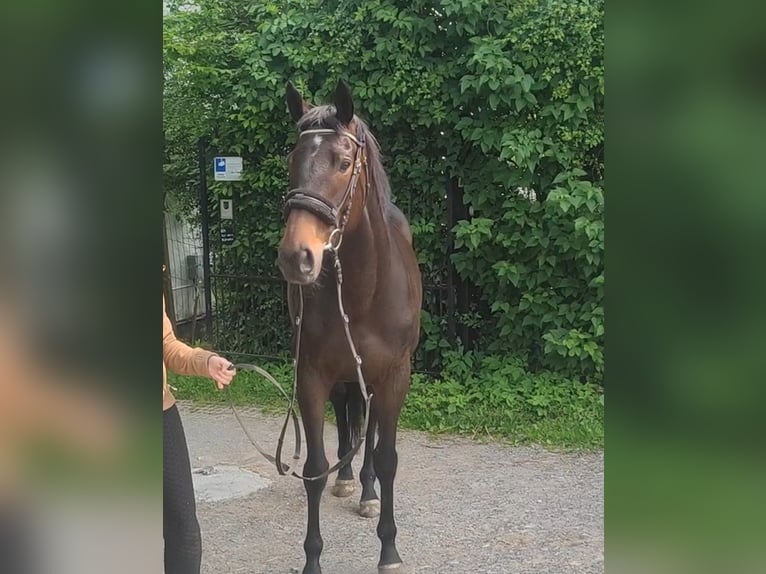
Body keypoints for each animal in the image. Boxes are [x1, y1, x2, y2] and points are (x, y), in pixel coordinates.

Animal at [278, 81, 424, 574]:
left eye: (343, 163)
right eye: (293, 160)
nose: (296, 256)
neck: (363, 289)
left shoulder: (394, 376)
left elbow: (388, 457)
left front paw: (389, 550)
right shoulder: (310, 375)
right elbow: (313, 469)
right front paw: (312, 559)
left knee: (371, 431)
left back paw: (366, 490)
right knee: (346, 416)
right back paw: (345, 477)